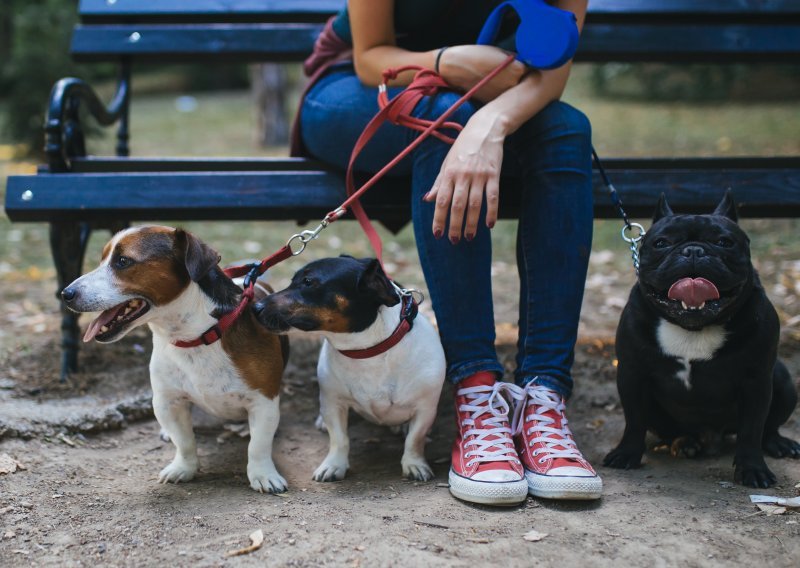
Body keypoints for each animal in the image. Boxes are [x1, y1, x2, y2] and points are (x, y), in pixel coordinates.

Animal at [61, 226, 290, 492]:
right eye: (102, 260)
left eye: (123, 261)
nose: (66, 294)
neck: (197, 336)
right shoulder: (167, 402)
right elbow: (185, 442)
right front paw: (184, 468)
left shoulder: (263, 401)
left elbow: (258, 446)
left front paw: (263, 474)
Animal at [255, 258, 446, 484]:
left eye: (308, 282)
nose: (255, 307)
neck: (367, 352)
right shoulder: (333, 404)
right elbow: (339, 439)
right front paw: (334, 465)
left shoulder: (426, 409)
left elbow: (415, 439)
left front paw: (414, 464)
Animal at [608, 193, 800, 486]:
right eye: (661, 243)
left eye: (725, 242)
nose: (693, 251)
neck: (693, 328)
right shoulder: (632, 374)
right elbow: (634, 420)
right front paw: (626, 454)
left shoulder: (757, 382)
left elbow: (752, 430)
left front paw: (753, 468)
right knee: (668, 430)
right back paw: (684, 443)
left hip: (782, 381)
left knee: (768, 427)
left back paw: (778, 443)